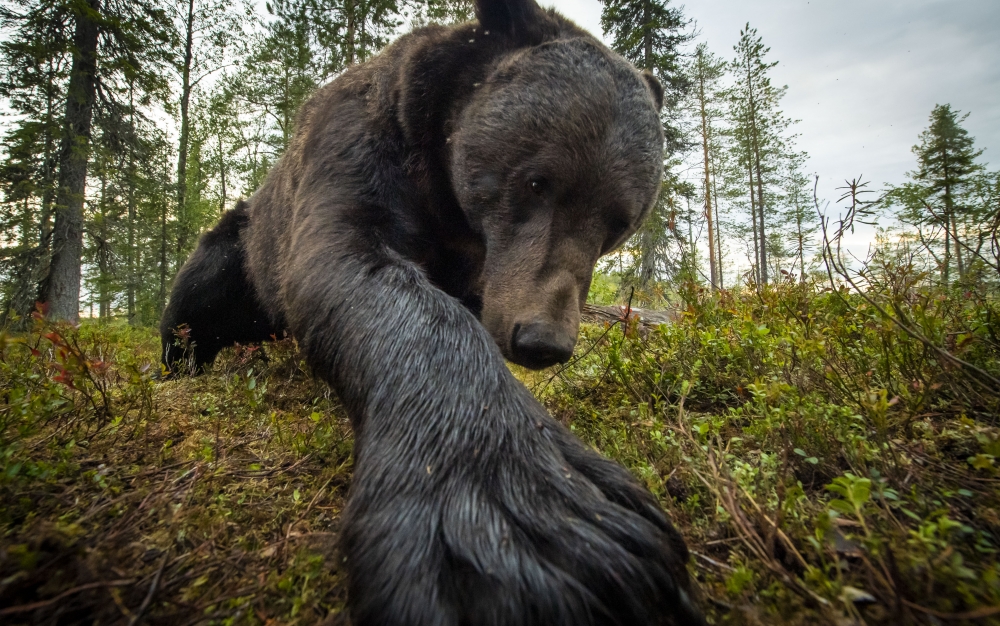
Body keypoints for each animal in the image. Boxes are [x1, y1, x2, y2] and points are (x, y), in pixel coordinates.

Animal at [160, 1, 705, 624]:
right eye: (536, 181)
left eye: (619, 222)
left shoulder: (479, 266)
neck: (448, 205)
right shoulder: (358, 148)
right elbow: (358, 268)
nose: (541, 339)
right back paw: (179, 362)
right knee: (198, 294)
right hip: (244, 245)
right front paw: (539, 526)